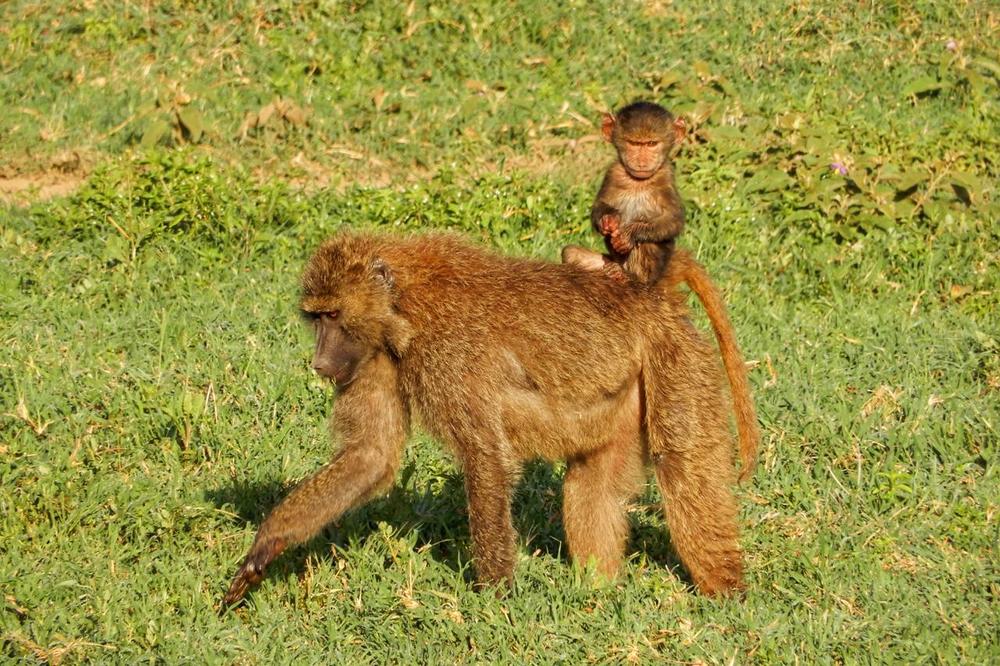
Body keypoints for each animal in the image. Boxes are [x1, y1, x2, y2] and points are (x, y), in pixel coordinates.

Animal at [221, 231, 752, 609]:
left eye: (332, 315)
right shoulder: (374, 355)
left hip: (674, 358)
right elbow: (370, 456)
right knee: (592, 483)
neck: (403, 300)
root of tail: (651, 298)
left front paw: (495, 600)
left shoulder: (446, 350)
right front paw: (266, 546)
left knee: (681, 464)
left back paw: (726, 595)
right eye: (316, 318)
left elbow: (486, 459)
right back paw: (594, 595)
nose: (321, 363)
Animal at [562, 101, 687, 285]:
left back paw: (629, 276)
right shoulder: (613, 173)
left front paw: (630, 235)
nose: (642, 162)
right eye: (633, 143)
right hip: (605, 261)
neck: (638, 181)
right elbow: (600, 205)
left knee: (647, 244)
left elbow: (673, 220)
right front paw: (608, 220)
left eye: (651, 144)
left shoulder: (666, 178)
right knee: (570, 253)